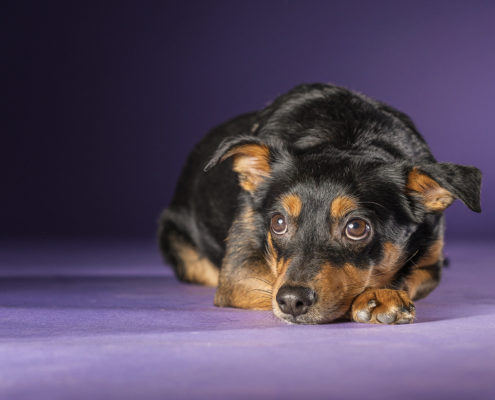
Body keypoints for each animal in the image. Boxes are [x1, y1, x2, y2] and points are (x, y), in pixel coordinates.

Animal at [158, 83, 480, 324]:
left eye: (356, 227)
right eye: (278, 223)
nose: (291, 301)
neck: (347, 137)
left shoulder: (431, 264)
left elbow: (405, 275)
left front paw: (381, 295)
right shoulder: (237, 272)